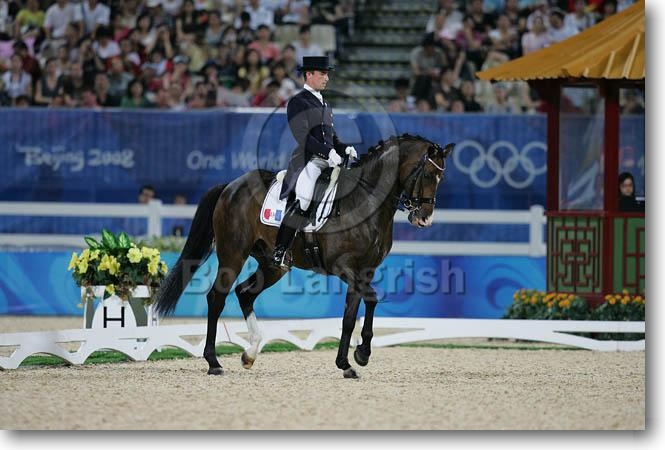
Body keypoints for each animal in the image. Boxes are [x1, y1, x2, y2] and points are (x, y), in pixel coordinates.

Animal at [153, 134, 454, 378]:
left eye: (442, 178)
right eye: (428, 175)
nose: (424, 219)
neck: (365, 200)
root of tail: (230, 185)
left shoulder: (364, 271)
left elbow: (352, 315)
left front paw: (351, 361)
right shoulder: (345, 266)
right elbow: (369, 301)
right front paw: (358, 356)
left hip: (273, 265)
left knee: (245, 293)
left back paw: (250, 354)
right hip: (232, 254)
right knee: (217, 298)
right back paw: (214, 362)